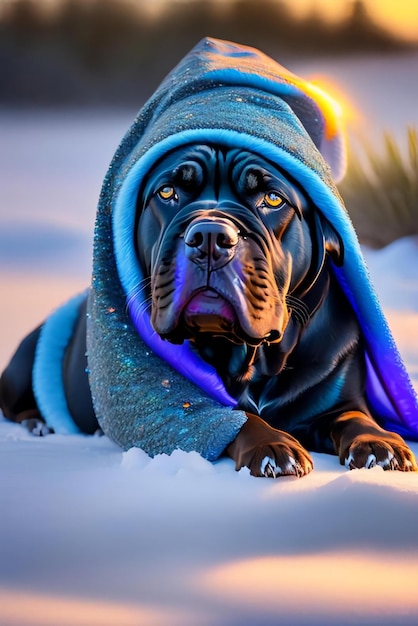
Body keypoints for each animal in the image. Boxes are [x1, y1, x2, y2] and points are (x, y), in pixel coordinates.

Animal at [2, 141, 414, 476]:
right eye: (167, 192)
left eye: (273, 199)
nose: (211, 237)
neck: (251, 358)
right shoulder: (175, 407)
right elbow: (237, 418)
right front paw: (274, 446)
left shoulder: (337, 394)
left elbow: (355, 416)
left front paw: (380, 444)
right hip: (22, 365)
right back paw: (39, 424)